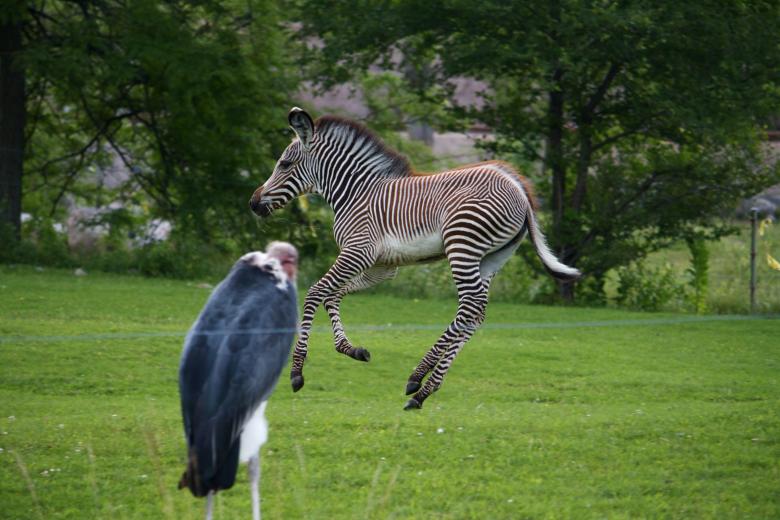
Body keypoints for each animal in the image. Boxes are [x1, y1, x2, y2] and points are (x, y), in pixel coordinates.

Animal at [249, 107, 580, 410]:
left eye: (285, 164)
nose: (253, 204)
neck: (355, 193)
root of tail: (517, 186)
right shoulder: (382, 267)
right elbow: (333, 295)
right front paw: (351, 349)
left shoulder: (357, 252)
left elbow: (316, 292)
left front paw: (296, 372)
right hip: (491, 259)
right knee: (475, 313)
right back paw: (424, 389)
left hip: (462, 246)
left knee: (469, 307)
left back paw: (418, 377)